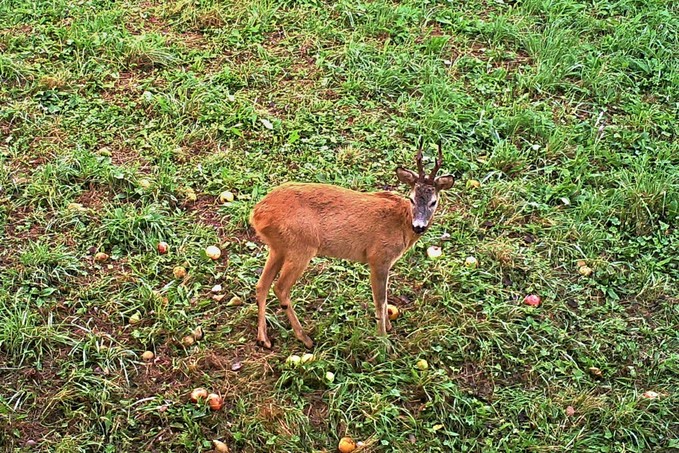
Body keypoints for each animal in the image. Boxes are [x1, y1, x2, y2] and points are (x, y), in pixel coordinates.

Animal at [250, 143, 456, 348]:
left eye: (433, 202)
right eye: (412, 198)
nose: (419, 226)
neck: (402, 221)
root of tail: (256, 214)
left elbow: (384, 298)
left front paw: (388, 327)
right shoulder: (379, 257)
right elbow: (380, 300)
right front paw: (383, 340)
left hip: (278, 248)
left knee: (262, 285)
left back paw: (264, 338)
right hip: (300, 247)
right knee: (280, 288)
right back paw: (305, 338)